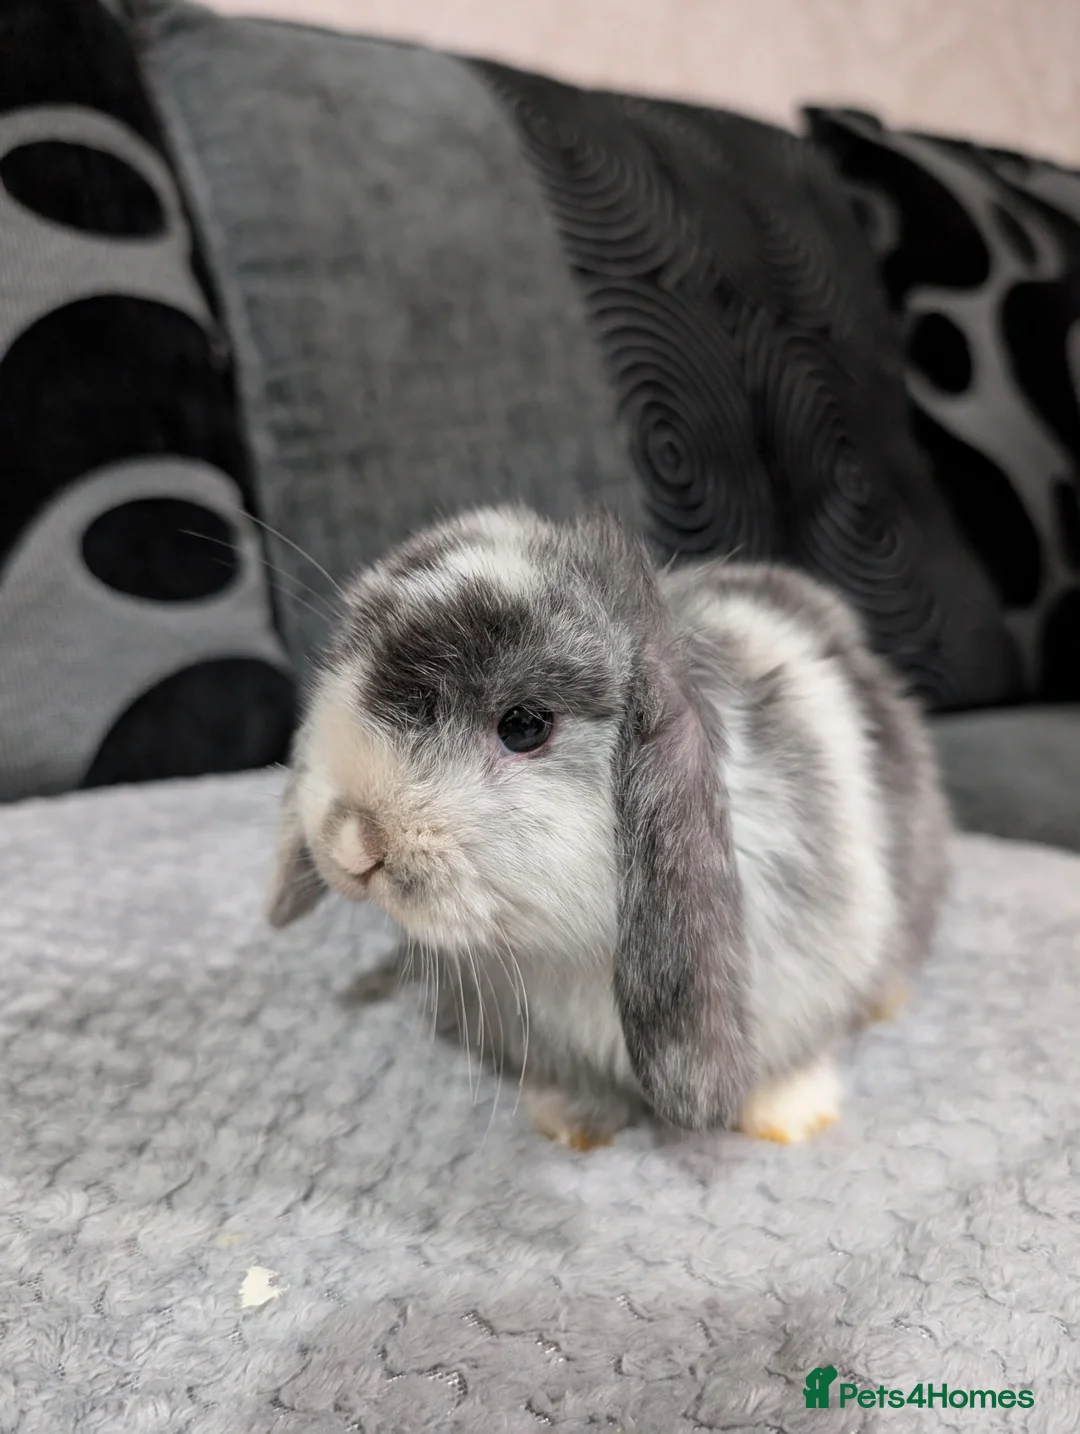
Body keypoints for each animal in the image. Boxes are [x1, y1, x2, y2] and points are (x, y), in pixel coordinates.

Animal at [267, 504, 950, 1148]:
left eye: (524, 725)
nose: (353, 845)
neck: (568, 947)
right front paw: (573, 1125)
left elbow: (793, 1062)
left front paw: (791, 1120)